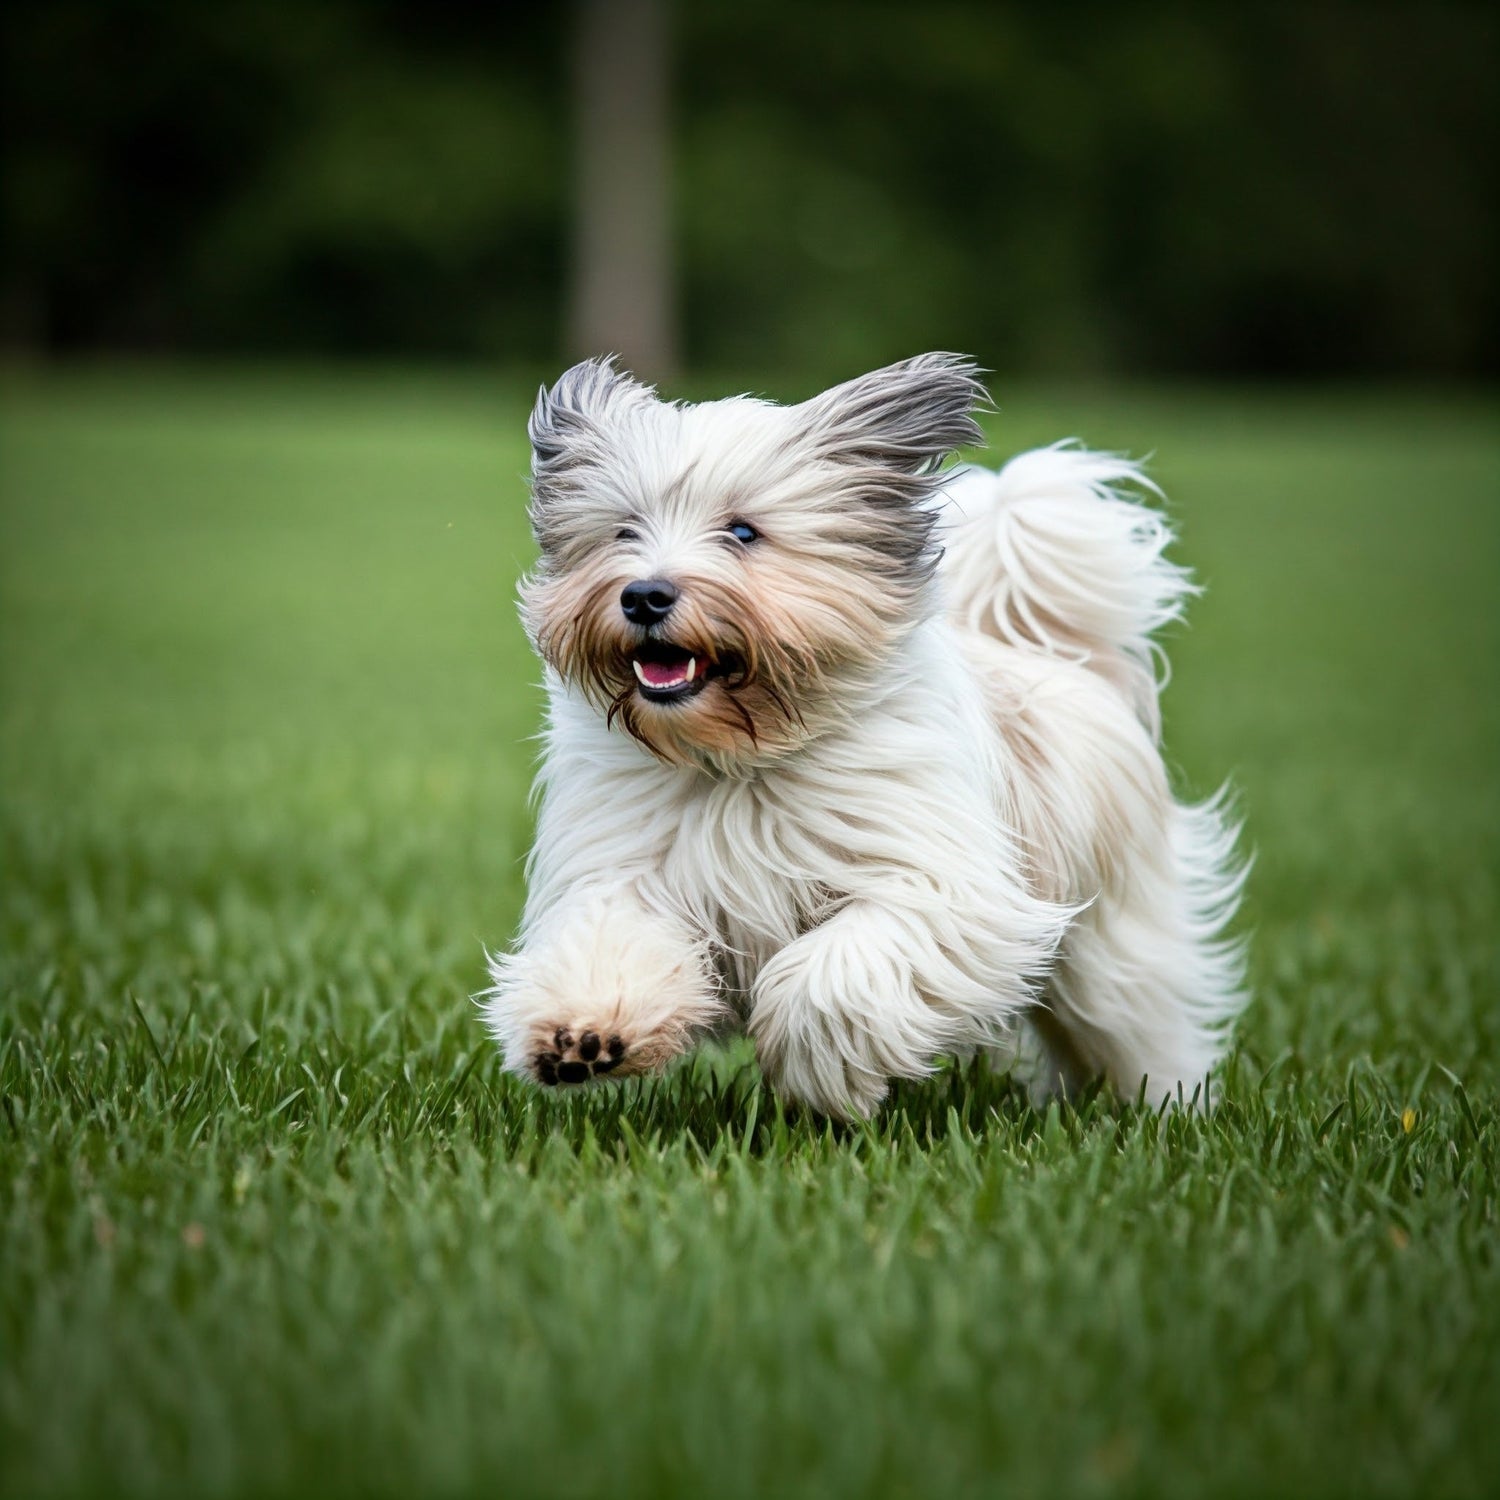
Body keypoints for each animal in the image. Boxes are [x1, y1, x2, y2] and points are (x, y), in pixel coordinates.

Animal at [480, 357, 1242, 1122]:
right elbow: (609, 935)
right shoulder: (624, 869)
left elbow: (836, 971)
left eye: (743, 533)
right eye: (624, 531)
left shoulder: (938, 888)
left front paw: (817, 1073)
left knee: (1138, 1026)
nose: (643, 596)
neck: (743, 760)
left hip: (1115, 943)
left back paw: (1166, 1108)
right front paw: (582, 1034)